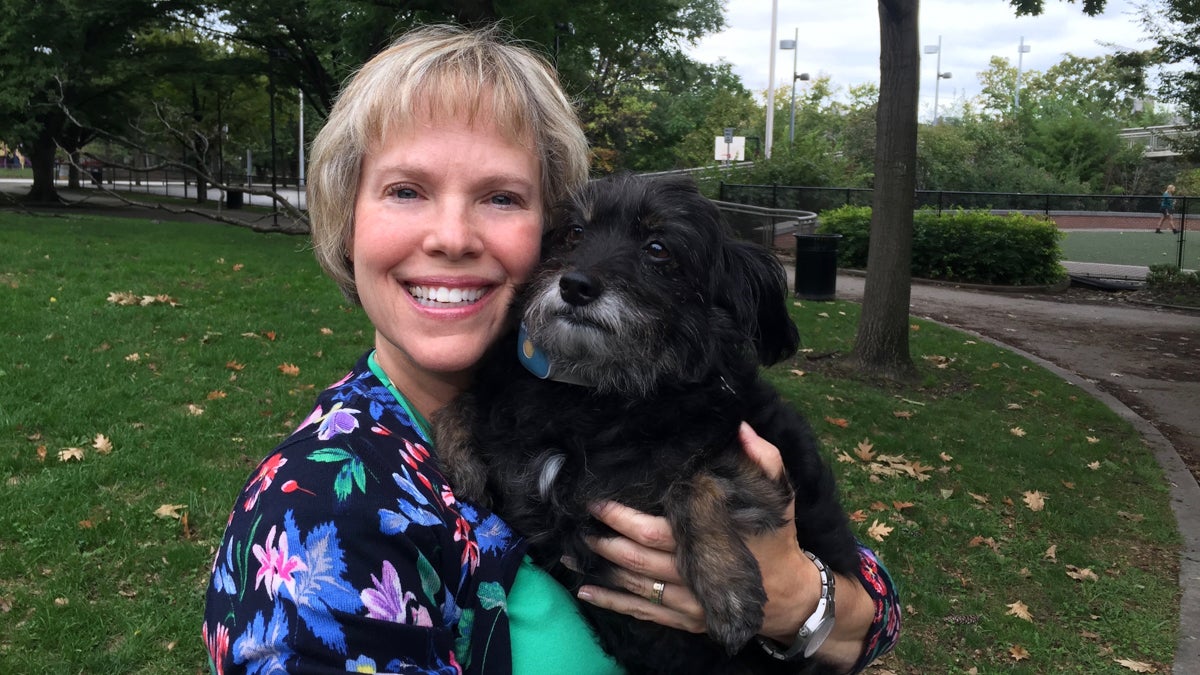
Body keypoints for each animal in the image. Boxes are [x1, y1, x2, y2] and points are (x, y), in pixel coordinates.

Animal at [436, 174, 859, 672]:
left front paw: (727, 586)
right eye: (574, 233)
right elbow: (463, 402)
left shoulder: (769, 475)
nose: (574, 285)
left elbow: (692, 477)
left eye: (658, 248)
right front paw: (462, 459)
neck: (598, 396)